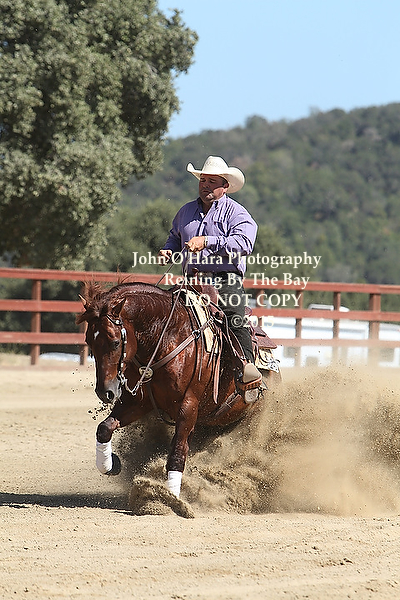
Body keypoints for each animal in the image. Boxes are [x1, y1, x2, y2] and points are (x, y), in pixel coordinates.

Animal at [76, 280, 280, 499]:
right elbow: (105, 428)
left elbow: (177, 453)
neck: (167, 337)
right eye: (89, 342)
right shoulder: (139, 403)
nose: (105, 391)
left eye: (115, 342)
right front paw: (110, 464)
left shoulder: (188, 406)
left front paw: (170, 498)